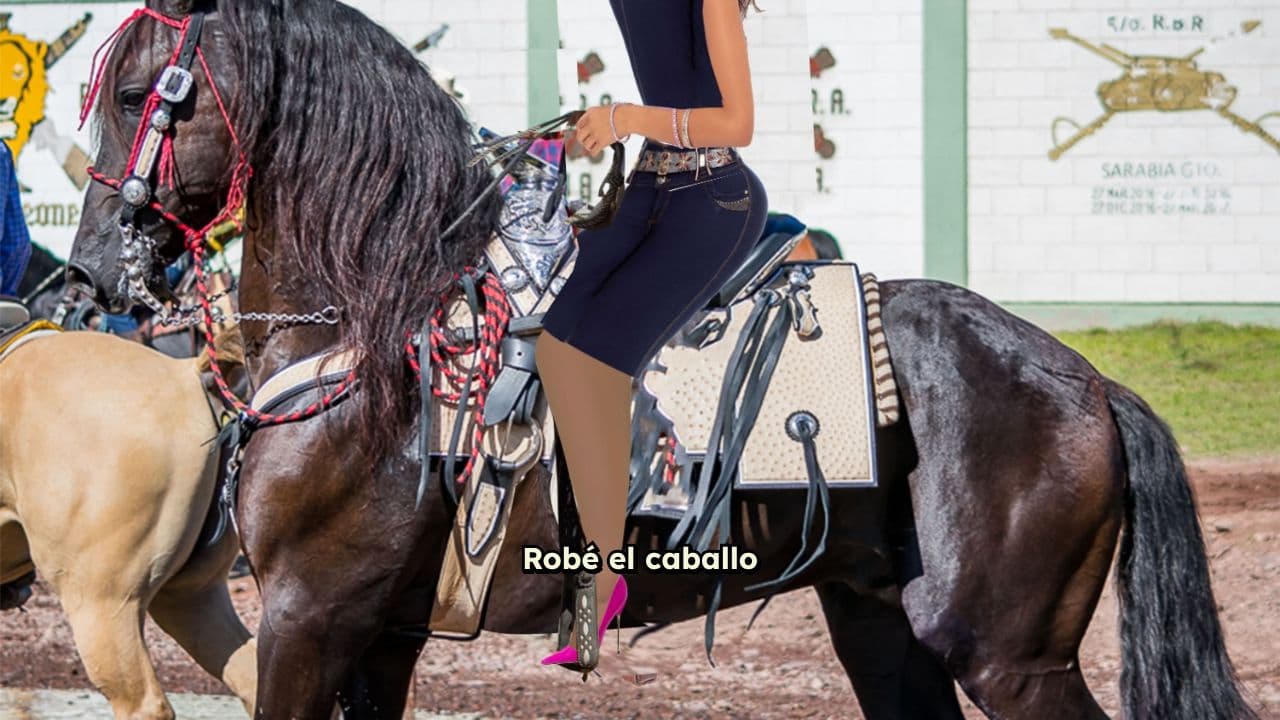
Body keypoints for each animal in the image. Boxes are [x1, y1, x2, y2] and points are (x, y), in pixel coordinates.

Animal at [68, 2, 1257, 718]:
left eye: (136, 96)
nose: (89, 273)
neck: (378, 334)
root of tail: (1085, 379)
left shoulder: (309, 619)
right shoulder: (381, 633)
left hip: (1011, 657)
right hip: (884, 624)